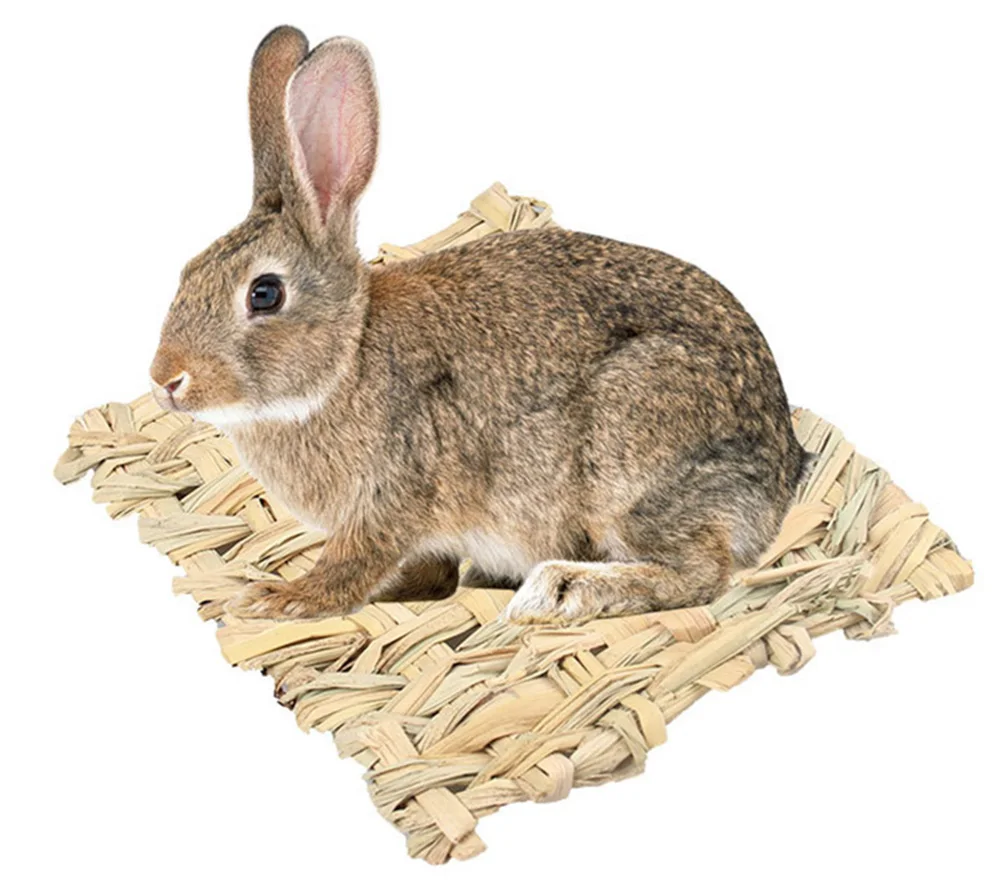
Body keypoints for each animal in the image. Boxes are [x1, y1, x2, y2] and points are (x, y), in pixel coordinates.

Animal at [150, 26, 809, 625]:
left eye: (264, 294)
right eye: (186, 272)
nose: (166, 380)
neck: (346, 359)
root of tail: (781, 475)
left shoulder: (391, 497)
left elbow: (352, 564)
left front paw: (278, 598)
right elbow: (427, 574)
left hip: (633, 454)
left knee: (700, 574)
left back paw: (563, 590)